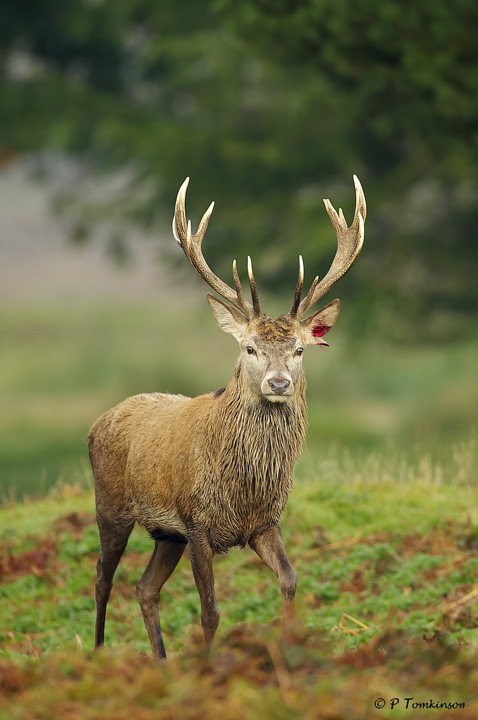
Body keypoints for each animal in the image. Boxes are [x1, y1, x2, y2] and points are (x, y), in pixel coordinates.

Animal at [87, 175, 366, 660]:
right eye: (249, 347)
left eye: (299, 349)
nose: (278, 383)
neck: (243, 488)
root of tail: (95, 424)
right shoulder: (197, 522)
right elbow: (210, 612)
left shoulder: (264, 523)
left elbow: (290, 580)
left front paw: (289, 649)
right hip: (112, 506)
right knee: (103, 577)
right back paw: (100, 653)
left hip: (165, 535)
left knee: (144, 588)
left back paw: (161, 661)